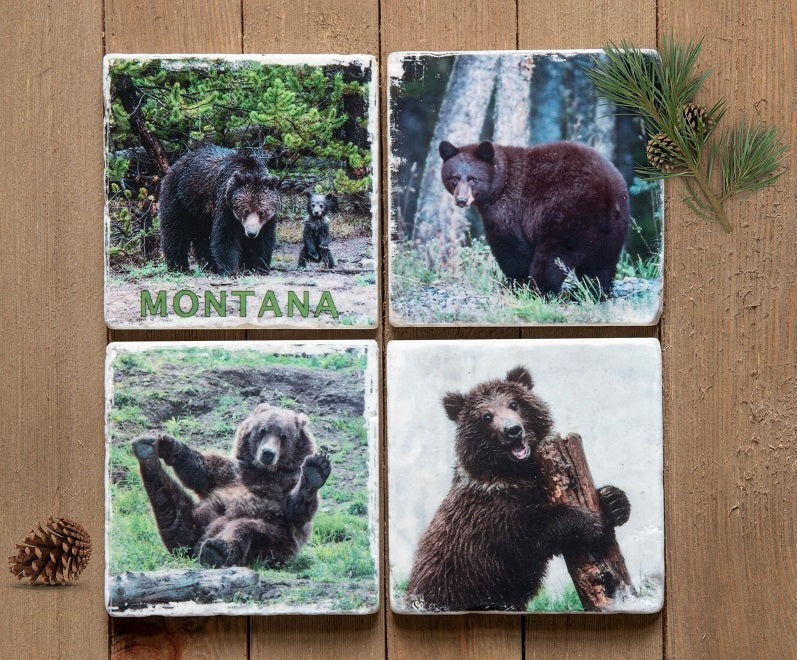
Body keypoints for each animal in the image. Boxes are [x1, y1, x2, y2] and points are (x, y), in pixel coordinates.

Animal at [131, 402, 331, 568]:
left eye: (283, 436)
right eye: (262, 430)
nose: (267, 453)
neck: (266, 472)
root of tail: (196, 543)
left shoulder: (285, 486)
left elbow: (297, 509)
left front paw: (315, 470)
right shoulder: (233, 472)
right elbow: (200, 472)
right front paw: (170, 444)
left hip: (273, 542)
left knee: (245, 529)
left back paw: (216, 550)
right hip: (198, 517)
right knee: (171, 507)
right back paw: (146, 452)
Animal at [158, 145, 281, 275]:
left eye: (261, 212)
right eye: (245, 210)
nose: (251, 233)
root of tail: (177, 162)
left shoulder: (269, 219)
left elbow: (264, 239)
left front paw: (259, 267)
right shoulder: (225, 205)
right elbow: (225, 236)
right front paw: (232, 270)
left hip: (202, 212)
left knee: (203, 237)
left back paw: (210, 265)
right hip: (180, 198)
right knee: (175, 231)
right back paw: (179, 266)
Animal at [404, 366, 630, 611]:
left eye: (514, 404)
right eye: (486, 416)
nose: (512, 430)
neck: (517, 474)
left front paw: (614, 501)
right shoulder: (488, 518)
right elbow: (527, 533)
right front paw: (593, 524)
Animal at [439, 140, 630, 297]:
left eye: (473, 179)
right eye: (454, 178)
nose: (461, 200)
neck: (500, 182)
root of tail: (606, 194)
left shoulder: (508, 208)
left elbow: (511, 247)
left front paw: (516, 283)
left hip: (567, 219)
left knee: (551, 260)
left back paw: (539, 291)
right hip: (614, 228)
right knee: (600, 266)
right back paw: (594, 292)